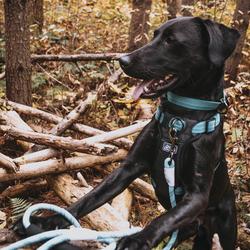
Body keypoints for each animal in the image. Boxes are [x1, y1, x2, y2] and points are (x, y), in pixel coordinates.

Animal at [16, 16, 239, 249]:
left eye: (171, 40)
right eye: (155, 35)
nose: (122, 60)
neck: (180, 121)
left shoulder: (197, 195)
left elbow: (163, 219)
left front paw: (137, 239)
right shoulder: (128, 168)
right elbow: (90, 198)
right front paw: (47, 221)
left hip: (224, 229)